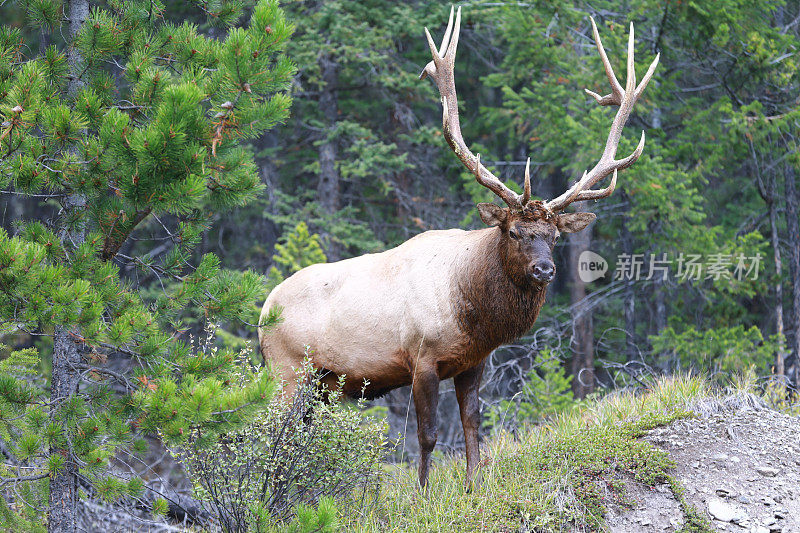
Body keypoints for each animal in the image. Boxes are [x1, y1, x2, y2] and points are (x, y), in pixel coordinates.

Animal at [260, 8, 660, 488]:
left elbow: (472, 424)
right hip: (285, 369)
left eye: (554, 236)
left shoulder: (474, 362)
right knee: (272, 438)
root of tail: (263, 309)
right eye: (513, 231)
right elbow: (429, 435)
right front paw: (423, 493)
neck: (473, 313)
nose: (544, 270)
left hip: (318, 382)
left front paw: (473, 487)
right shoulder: (421, 358)